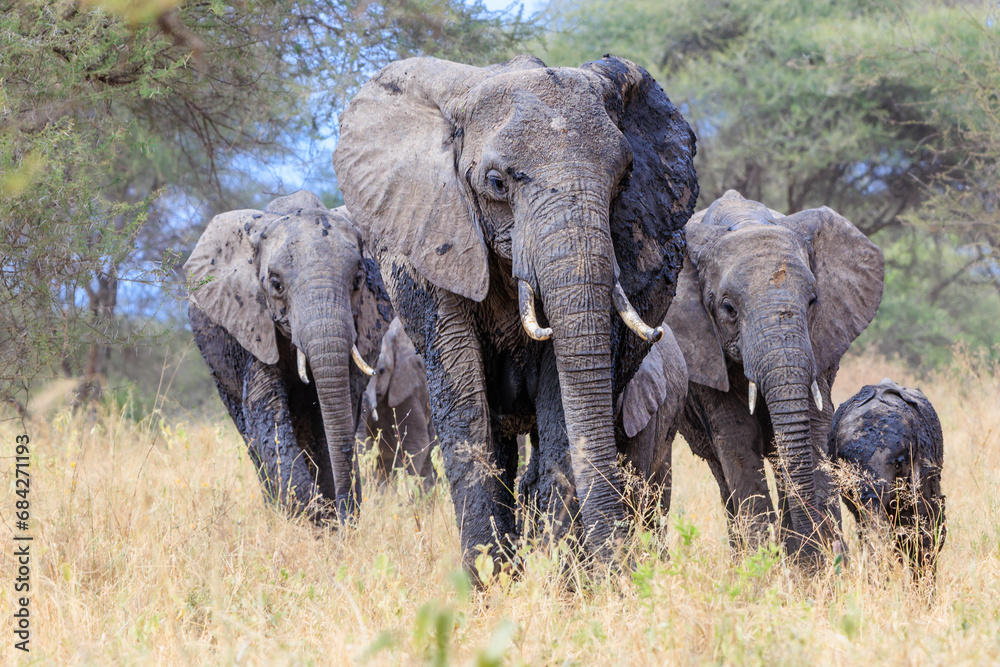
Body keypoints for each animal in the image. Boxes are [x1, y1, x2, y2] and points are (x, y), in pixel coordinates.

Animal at [185, 191, 393, 522]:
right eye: (275, 284)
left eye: (359, 279)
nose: (343, 510)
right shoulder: (252, 325)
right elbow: (265, 406)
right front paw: (314, 511)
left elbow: (334, 408)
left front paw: (329, 514)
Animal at [665, 190, 884, 559]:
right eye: (728, 309)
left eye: (813, 301)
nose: (834, 548)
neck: (745, 220)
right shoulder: (704, 350)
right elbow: (737, 440)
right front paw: (762, 565)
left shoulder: (819, 342)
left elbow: (812, 428)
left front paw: (815, 563)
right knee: (723, 474)